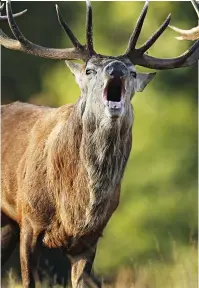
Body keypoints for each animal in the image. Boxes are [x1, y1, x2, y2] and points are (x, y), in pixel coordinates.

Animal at [0, 0, 199, 288]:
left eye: (133, 71)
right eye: (89, 70)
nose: (116, 68)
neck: (76, 205)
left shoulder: (90, 239)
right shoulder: (29, 221)